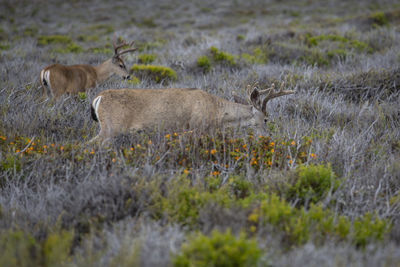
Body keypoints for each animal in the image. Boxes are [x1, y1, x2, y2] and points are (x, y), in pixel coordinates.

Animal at [88, 82, 294, 143]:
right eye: (266, 119)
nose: (268, 137)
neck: (217, 112)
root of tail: (98, 98)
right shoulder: (196, 128)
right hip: (111, 127)